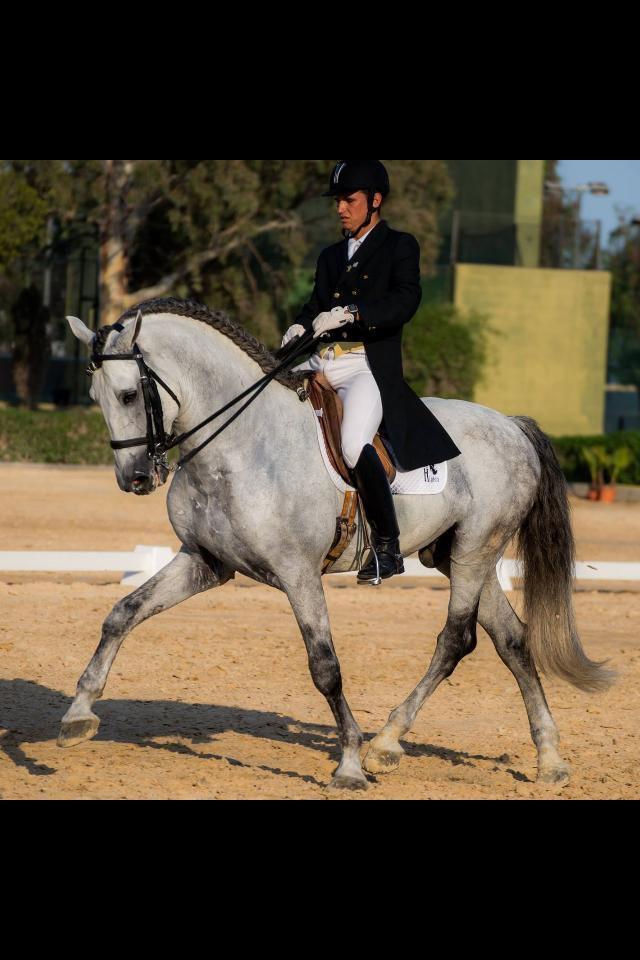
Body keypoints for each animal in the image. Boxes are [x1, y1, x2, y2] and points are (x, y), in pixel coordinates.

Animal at [62, 297, 613, 791]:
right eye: (94, 394)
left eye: (129, 395)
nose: (134, 478)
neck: (238, 446)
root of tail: (511, 425)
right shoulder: (206, 562)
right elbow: (122, 613)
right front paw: (78, 714)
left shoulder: (297, 573)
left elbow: (325, 666)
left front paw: (348, 763)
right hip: (455, 556)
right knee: (512, 640)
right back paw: (548, 759)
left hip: (476, 549)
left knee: (456, 640)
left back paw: (385, 744)